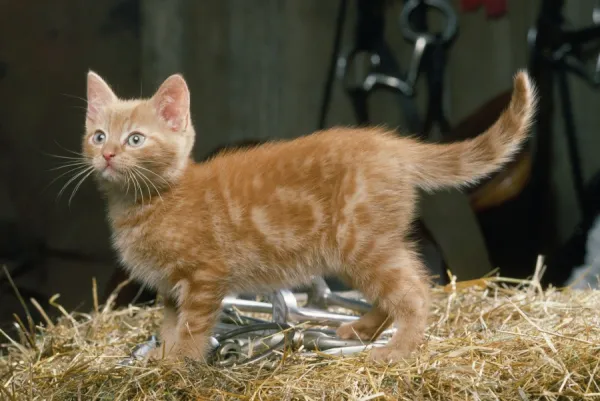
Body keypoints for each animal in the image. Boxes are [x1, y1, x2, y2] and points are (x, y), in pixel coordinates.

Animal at [82, 70, 536, 360]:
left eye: (135, 139)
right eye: (99, 136)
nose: (108, 155)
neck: (146, 203)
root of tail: (392, 145)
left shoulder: (205, 277)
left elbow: (193, 328)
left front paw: (180, 366)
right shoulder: (170, 288)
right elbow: (170, 326)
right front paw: (162, 358)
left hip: (362, 242)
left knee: (416, 292)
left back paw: (397, 351)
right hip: (365, 246)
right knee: (404, 284)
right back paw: (363, 330)